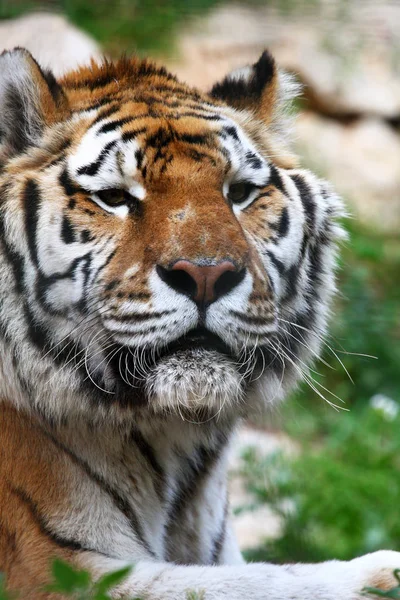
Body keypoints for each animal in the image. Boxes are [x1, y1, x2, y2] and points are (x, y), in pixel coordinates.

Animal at [0, 47, 396, 600]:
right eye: (115, 197)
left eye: (241, 192)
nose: (207, 275)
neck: (171, 441)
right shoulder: (55, 567)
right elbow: (256, 582)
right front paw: (383, 572)